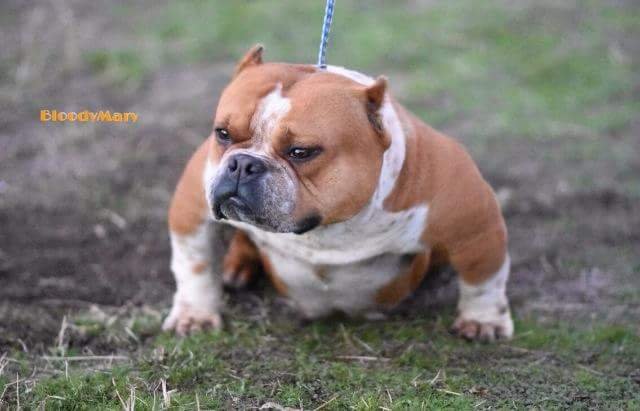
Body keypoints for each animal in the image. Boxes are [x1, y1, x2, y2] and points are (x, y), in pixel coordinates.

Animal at [162, 45, 512, 342]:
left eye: (301, 152)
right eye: (223, 133)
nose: (243, 164)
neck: (328, 228)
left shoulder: (475, 226)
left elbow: (483, 279)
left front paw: (484, 321)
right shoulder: (192, 211)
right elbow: (196, 265)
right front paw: (195, 315)